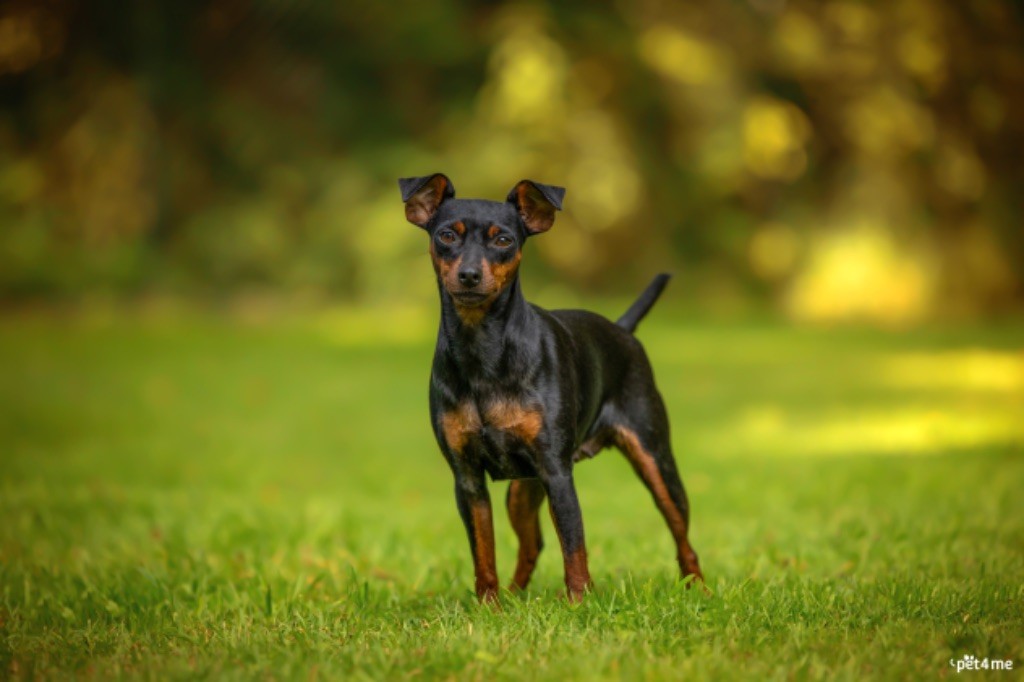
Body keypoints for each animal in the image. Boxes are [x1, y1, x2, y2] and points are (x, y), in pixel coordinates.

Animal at [399, 174, 704, 602]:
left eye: (504, 240)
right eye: (446, 235)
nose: (470, 275)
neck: (483, 349)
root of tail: (622, 330)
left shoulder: (557, 473)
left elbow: (574, 546)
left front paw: (579, 602)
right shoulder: (468, 480)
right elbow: (483, 552)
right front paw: (489, 606)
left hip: (655, 461)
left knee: (683, 536)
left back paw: (699, 590)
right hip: (521, 491)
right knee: (533, 544)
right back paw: (514, 596)